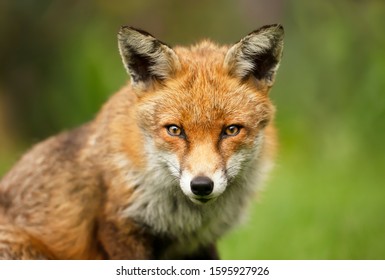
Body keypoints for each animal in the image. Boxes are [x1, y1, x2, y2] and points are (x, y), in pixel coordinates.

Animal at [0, 24, 282, 260]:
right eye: (175, 130)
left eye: (231, 130)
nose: (201, 185)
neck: (184, 219)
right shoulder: (119, 226)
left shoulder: (197, 244)